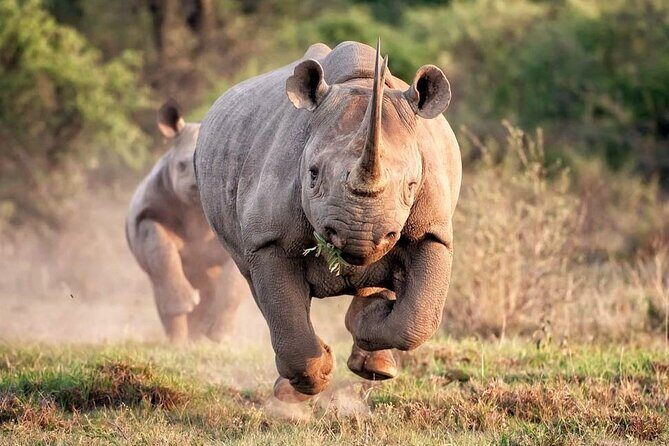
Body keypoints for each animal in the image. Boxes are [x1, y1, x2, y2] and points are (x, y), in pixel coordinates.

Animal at [126, 100, 246, 343]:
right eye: (181, 165)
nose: (195, 186)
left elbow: (233, 283)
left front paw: (219, 338)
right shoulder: (148, 213)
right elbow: (161, 249)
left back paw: (205, 337)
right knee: (160, 287)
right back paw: (179, 342)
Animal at [195, 40, 461, 400]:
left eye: (411, 185)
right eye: (312, 174)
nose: (359, 236)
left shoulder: (432, 230)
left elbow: (416, 319)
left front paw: (373, 315)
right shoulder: (268, 238)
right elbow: (283, 307)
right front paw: (315, 378)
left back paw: (377, 364)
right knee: (255, 282)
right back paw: (293, 388)